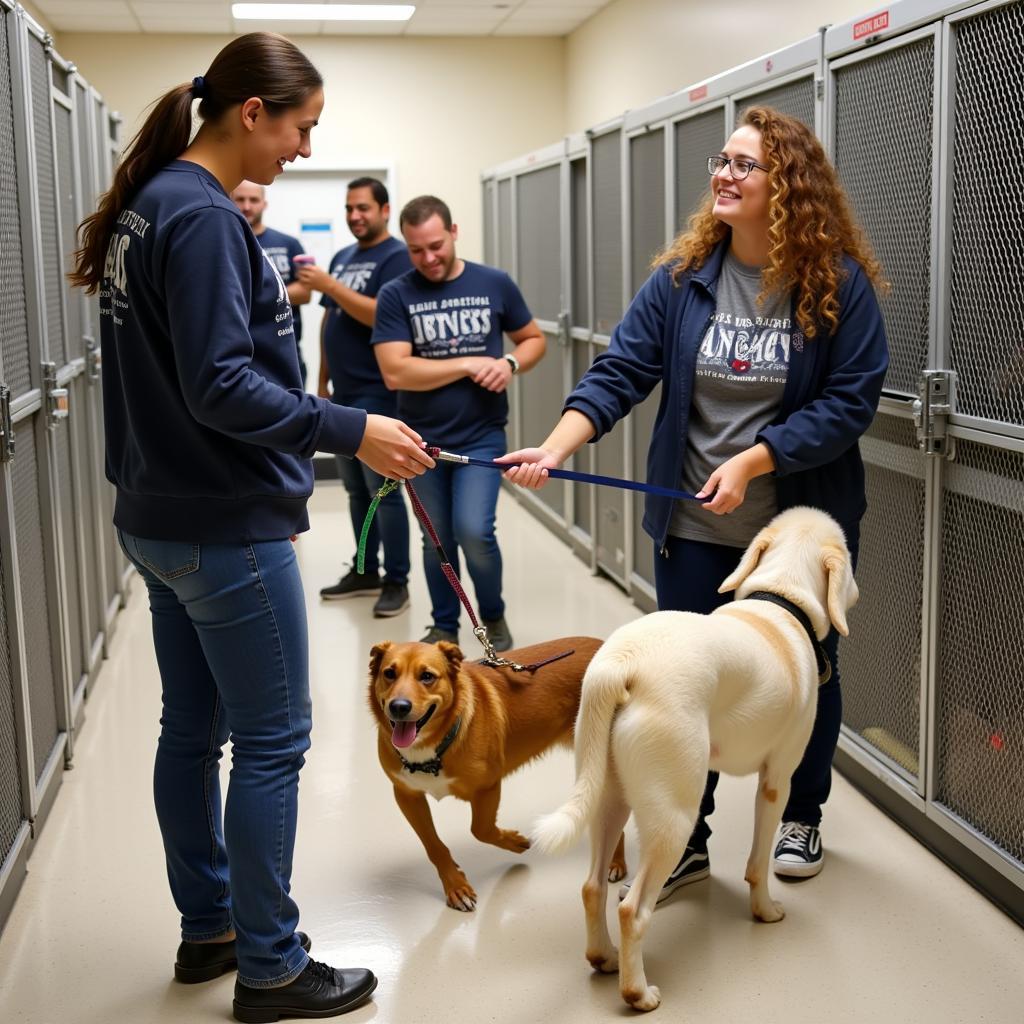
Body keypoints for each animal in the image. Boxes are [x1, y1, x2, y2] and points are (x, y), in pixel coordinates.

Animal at [368, 638, 622, 913]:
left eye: (427, 676)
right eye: (389, 674)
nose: (398, 707)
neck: (432, 751)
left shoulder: (488, 788)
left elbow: (481, 829)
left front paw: (514, 842)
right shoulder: (407, 796)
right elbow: (434, 845)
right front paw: (455, 884)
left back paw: (616, 863)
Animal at [532, 507, 860, 1011]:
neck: (780, 600)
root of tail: (623, 662)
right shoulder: (777, 780)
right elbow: (756, 865)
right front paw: (765, 911)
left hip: (610, 798)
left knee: (592, 887)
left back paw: (603, 957)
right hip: (674, 814)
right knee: (632, 910)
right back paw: (637, 992)